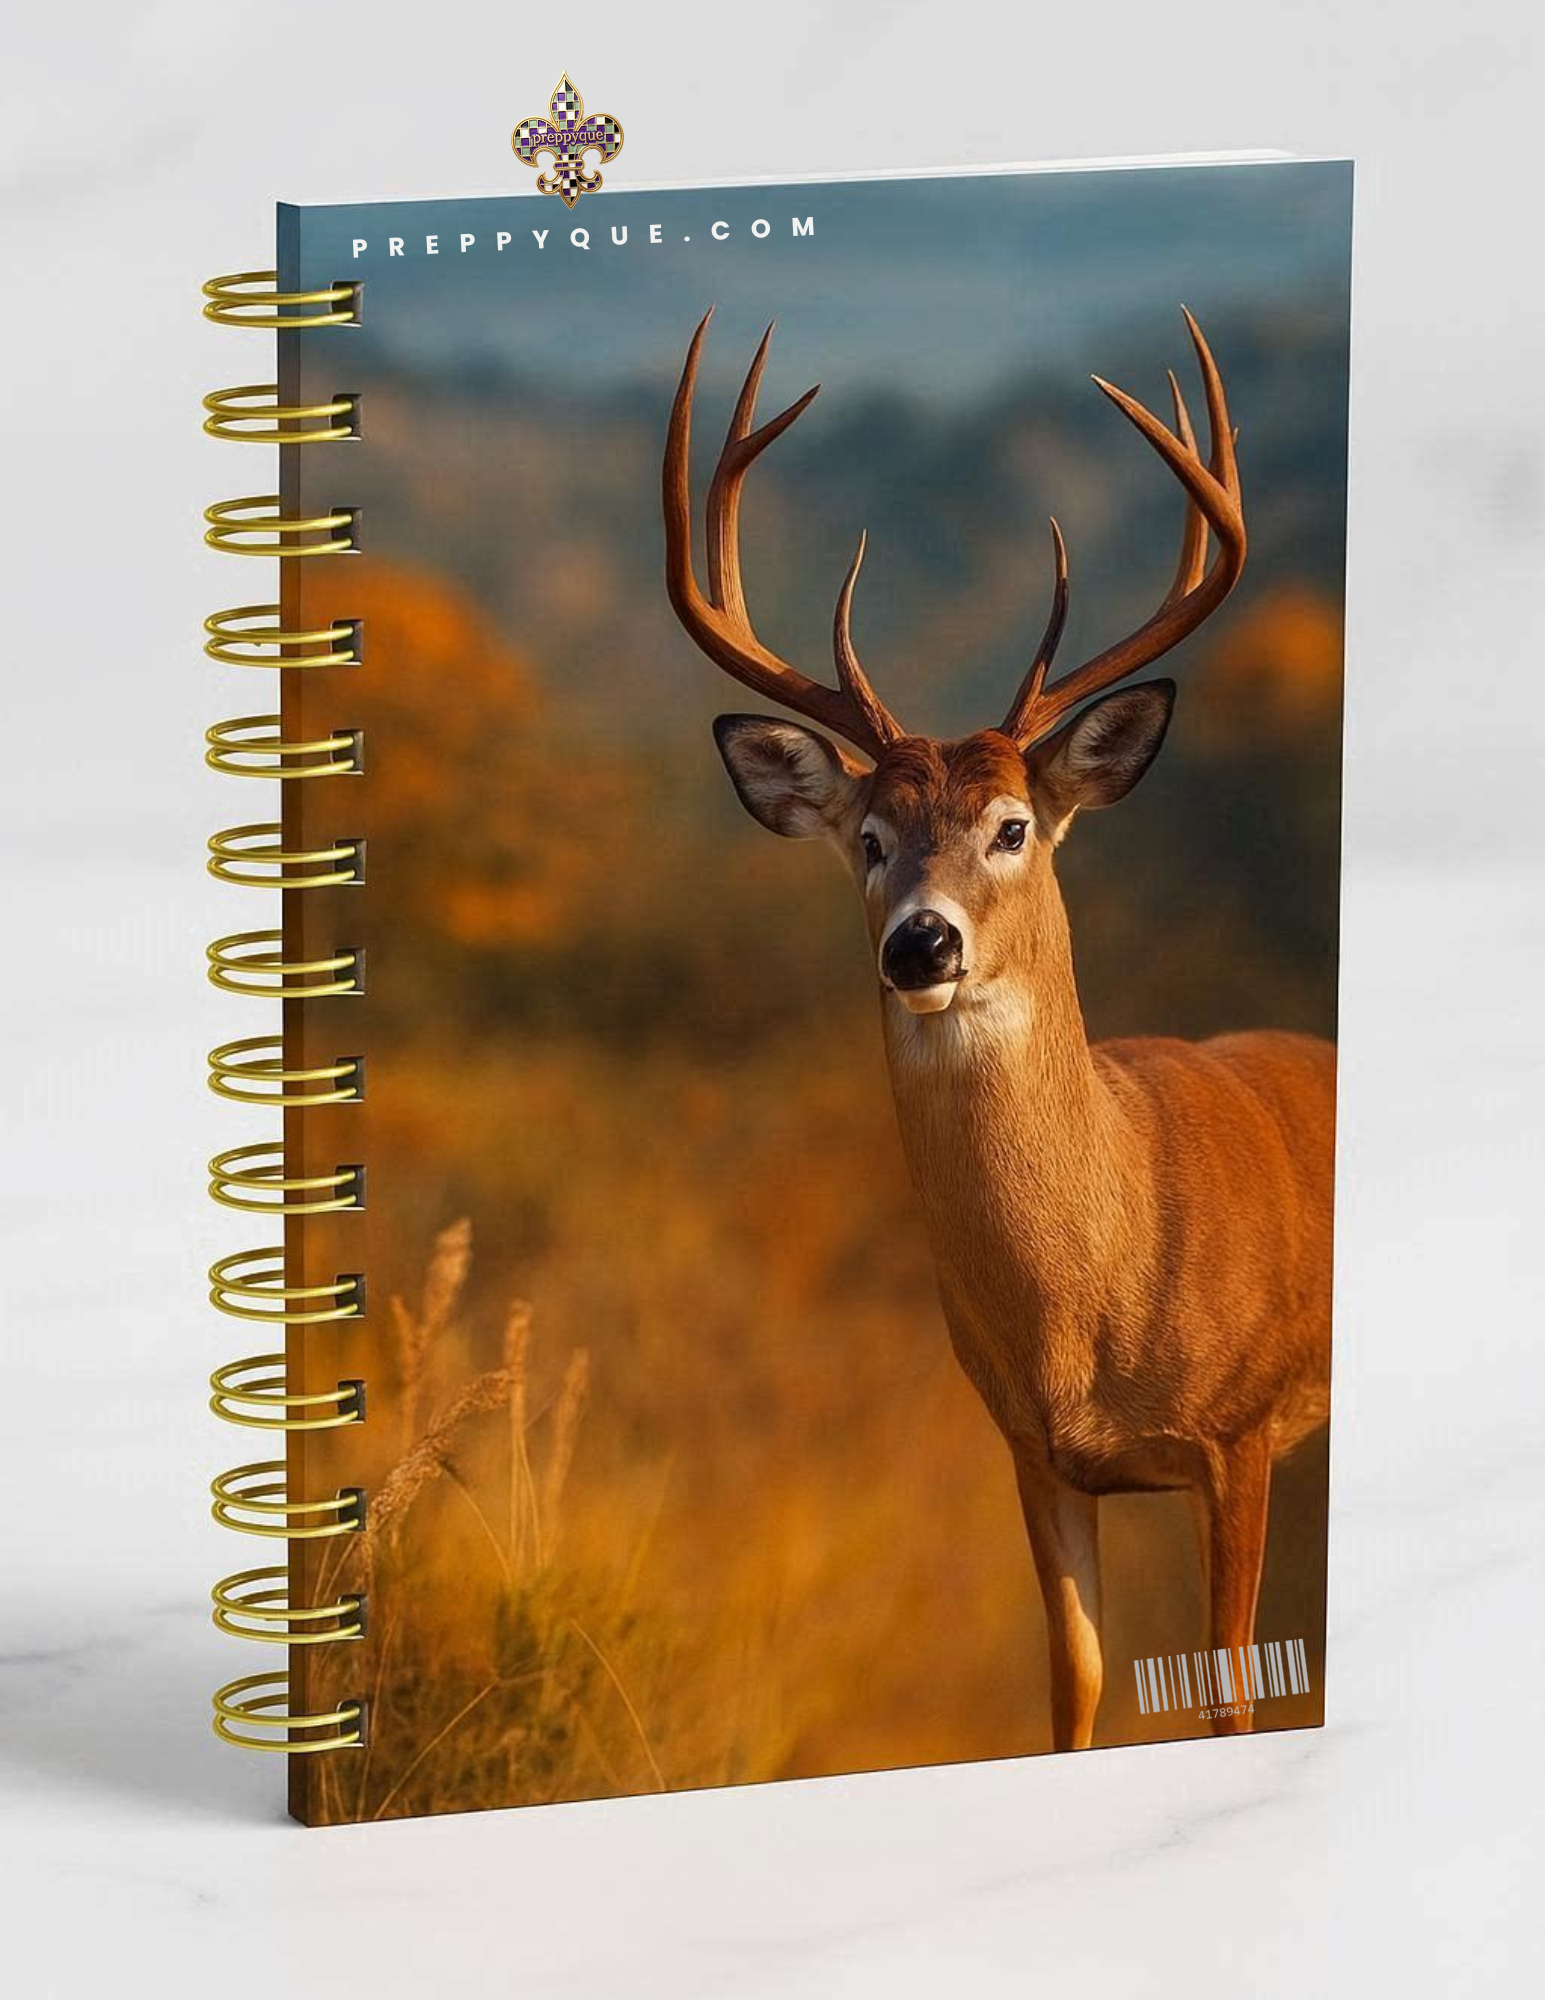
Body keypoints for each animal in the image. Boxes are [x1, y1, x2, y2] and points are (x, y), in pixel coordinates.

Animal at [662, 306, 1335, 1751]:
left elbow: (1228, 1693)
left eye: (1014, 825)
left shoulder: (1240, 1433)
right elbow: (1072, 1685)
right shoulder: (1035, 1450)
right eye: (866, 840)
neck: (1099, 1289)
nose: (922, 944)